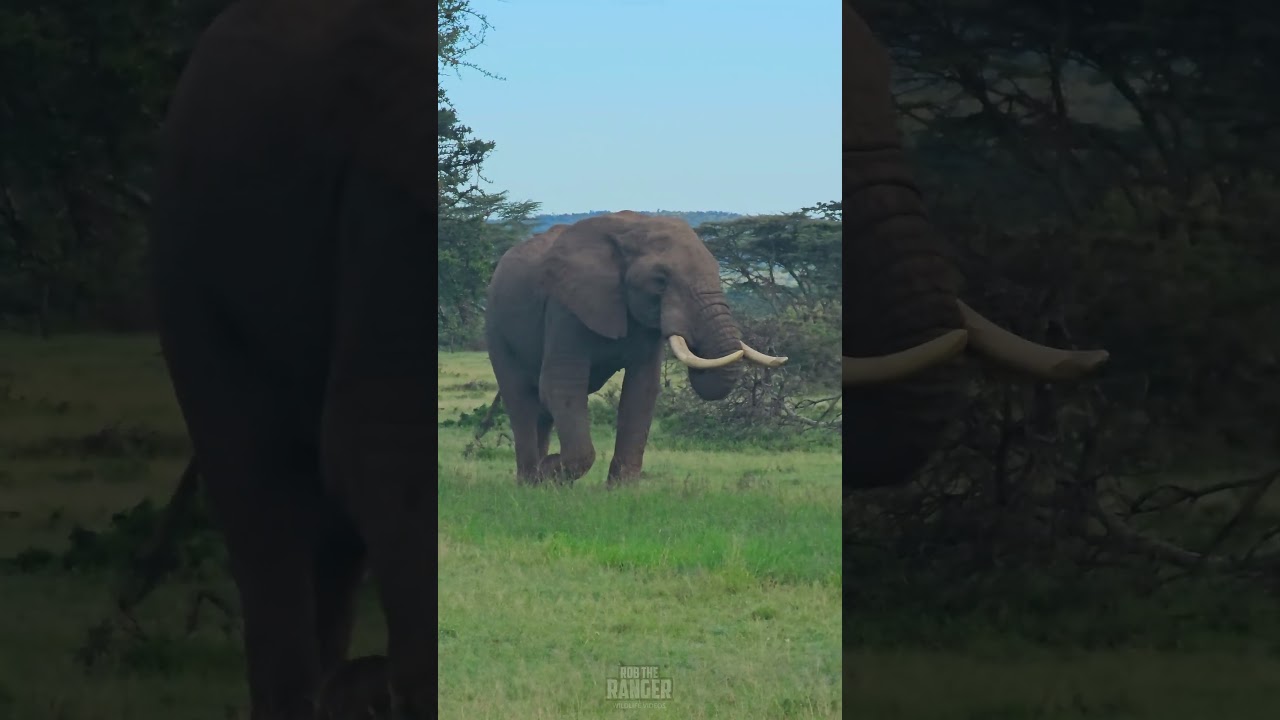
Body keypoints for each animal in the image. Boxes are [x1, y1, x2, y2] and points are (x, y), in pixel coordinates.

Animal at [484, 211, 788, 486]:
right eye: (660, 281)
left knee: (541, 410)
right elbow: (562, 386)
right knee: (521, 400)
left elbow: (641, 390)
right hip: (497, 329)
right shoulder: (564, 308)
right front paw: (550, 473)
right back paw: (529, 481)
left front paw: (621, 490)